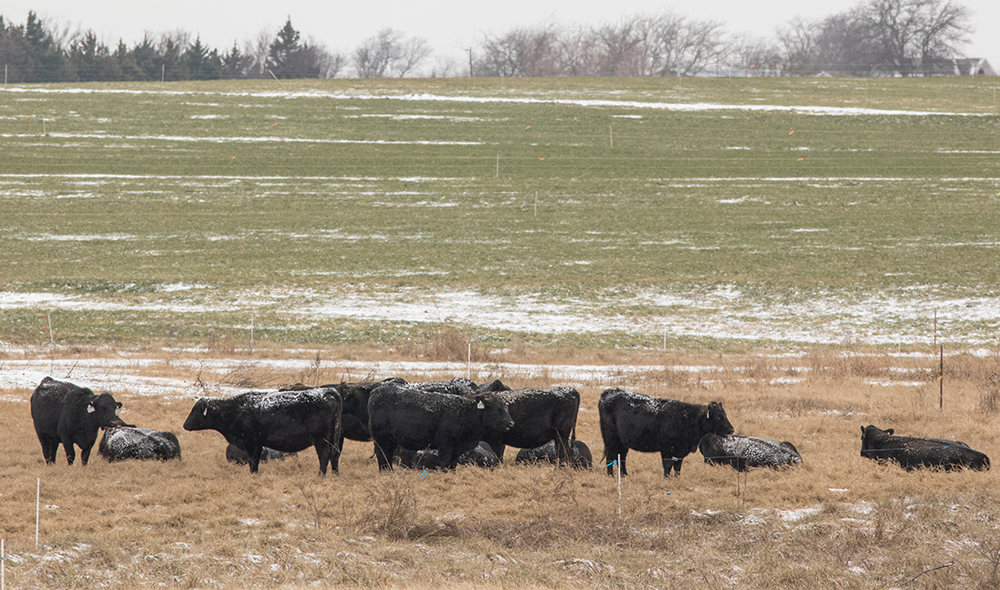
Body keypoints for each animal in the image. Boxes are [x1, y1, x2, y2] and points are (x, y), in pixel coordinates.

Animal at [185, 388, 344, 476]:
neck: (236, 409)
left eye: (195, 411)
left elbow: (253, 460)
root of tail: (327, 392)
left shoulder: (251, 441)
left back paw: (321, 475)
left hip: (322, 440)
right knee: (334, 455)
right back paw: (335, 474)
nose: (185, 425)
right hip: (334, 439)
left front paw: (253, 474)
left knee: (324, 456)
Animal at [368, 382, 516, 474]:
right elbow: (445, 463)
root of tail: (376, 392)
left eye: (506, 408)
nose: (511, 423)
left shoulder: (457, 448)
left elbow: (453, 465)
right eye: (497, 409)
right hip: (382, 438)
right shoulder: (445, 446)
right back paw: (386, 472)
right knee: (382, 455)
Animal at [596, 388, 732, 480]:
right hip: (610, 439)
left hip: (622, 442)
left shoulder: (680, 451)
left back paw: (624, 475)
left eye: (725, 415)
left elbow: (677, 466)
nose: (731, 430)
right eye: (719, 417)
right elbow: (668, 465)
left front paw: (677, 478)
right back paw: (611, 475)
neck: (687, 418)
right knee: (610, 457)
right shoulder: (667, 449)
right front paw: (667, 478)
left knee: (621, 458)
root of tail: (609, 392)